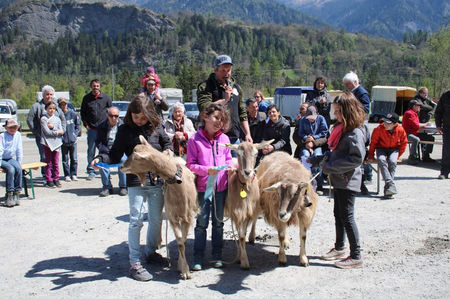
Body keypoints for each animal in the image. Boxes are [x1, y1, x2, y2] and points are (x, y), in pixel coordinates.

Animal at [120, 136, 198, 282]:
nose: (121, 167)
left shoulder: (188, 216)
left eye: (136, 157)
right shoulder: (173, 216)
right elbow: (180, 242)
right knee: (159, 218)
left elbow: (183, 241)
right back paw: (158, 241)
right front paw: (184, 269)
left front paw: (183, 268)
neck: (180, 187)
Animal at [221, 142, 272, 270]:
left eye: (256, 154)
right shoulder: (237, 212)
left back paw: (252, 237)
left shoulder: (248, 212)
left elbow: (243, 234)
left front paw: (242, 259)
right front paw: (242, 260)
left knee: (254, 220)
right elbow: (240, 236)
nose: (248, 172)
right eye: (239, 153)